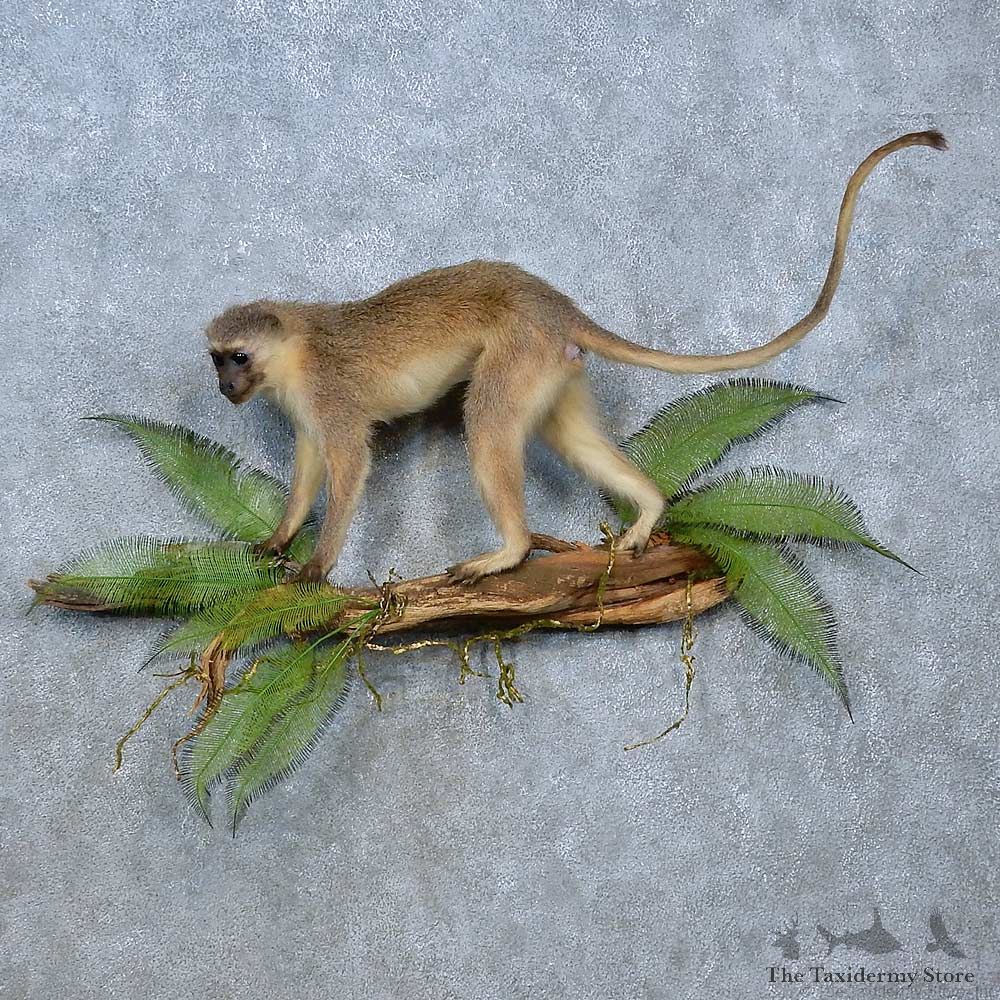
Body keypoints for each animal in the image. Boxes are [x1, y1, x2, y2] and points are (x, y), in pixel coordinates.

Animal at [205, 130, 946, 585]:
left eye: (237, 356)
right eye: (217, 360)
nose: (223, 388)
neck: (296, 350)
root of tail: (558, 308)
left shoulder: (328, 393)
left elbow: (349, 466)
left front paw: (317, 567)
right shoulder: (303, 407)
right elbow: (308, 465)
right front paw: (279, 539)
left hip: (520, 352)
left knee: (489, 424)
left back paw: (509, 552)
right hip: (553, 367)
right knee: (565, 435)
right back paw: (648, 510)